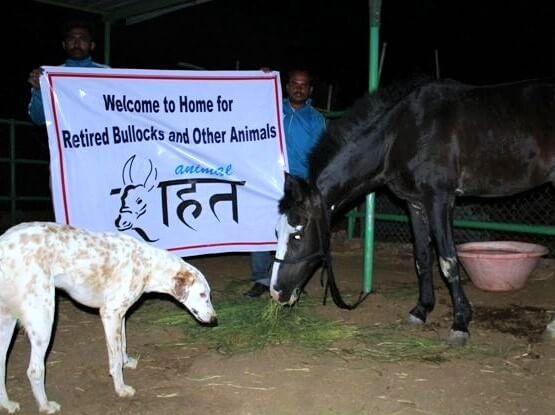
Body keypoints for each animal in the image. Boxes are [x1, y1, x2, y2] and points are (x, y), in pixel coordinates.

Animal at [0, 223, 218, 414]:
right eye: (202, 295)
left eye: (208, 295)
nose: (214, 320)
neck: (148, 264)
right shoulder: (110, 313)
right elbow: (114, 359)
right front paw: (121, 389)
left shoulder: (120, 315)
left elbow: (122, 345)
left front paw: (127, 362)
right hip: (43, 321)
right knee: (35, 370)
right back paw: (45, 406)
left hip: (7, 325)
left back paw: (8, 404)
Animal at [272, 76, 555, 346]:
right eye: (277, 231)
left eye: (298, 234)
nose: (276, 292)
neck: (401, 132)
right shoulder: (415, 204)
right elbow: (422, 258)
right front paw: (420, 311)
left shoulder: (439, 200)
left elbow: (448, 262)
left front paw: (460, 325)